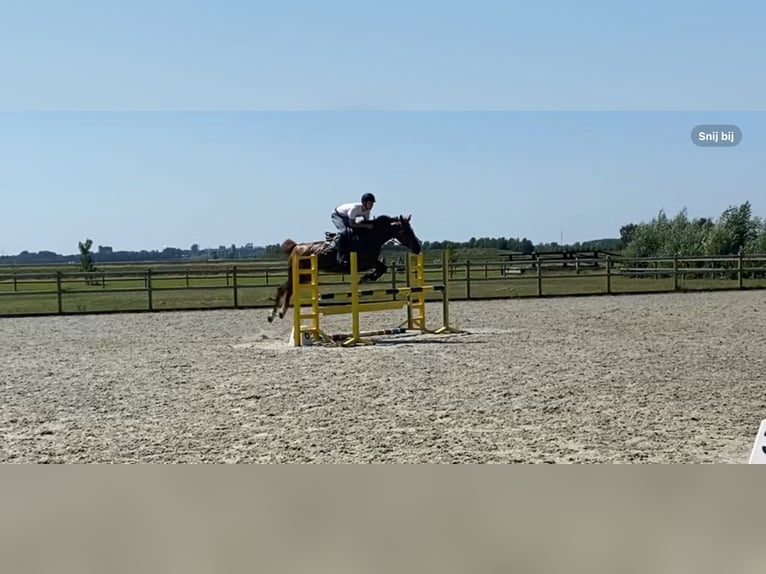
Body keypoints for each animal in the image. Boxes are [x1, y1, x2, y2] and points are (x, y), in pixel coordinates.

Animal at [268, 215, 426, 324]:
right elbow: (381, 267)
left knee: (282, 288)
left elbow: (382, 267)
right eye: (405, 231)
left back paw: (272, 315)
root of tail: (296, 247)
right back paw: (280, 312)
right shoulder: (364, 261)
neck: (370, 237)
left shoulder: (370, 262)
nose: (417, 248)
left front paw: (367, 277)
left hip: (304, 276)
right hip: (301, 275)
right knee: (288, 289)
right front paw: (366, 277)